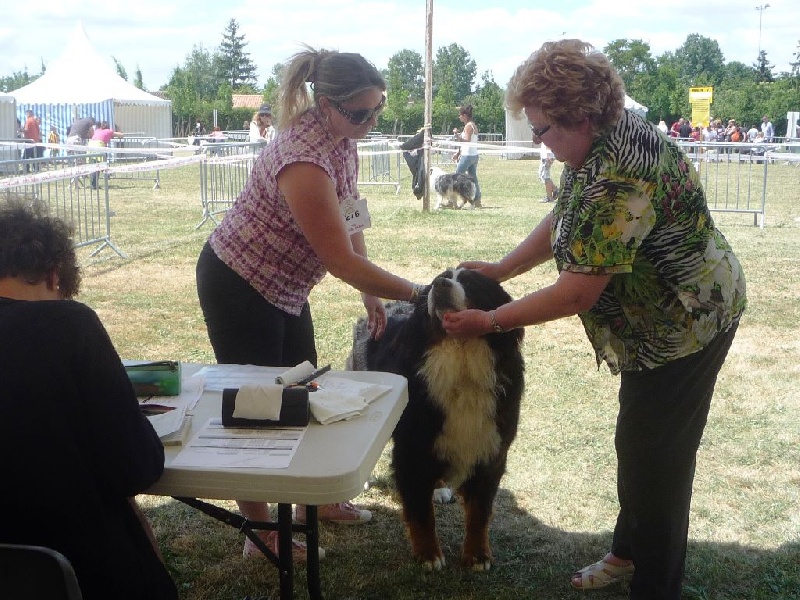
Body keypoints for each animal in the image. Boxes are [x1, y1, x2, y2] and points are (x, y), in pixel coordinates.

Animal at [348, 267, 524, 571]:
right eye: (437, 280)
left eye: (471, 282)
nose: (440, 285)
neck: (461, 359)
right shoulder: (411, 448)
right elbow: (421, 512)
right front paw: (428, 554)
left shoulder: (491, 449)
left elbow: (479, 512)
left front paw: (477, 555)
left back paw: (439, 489)